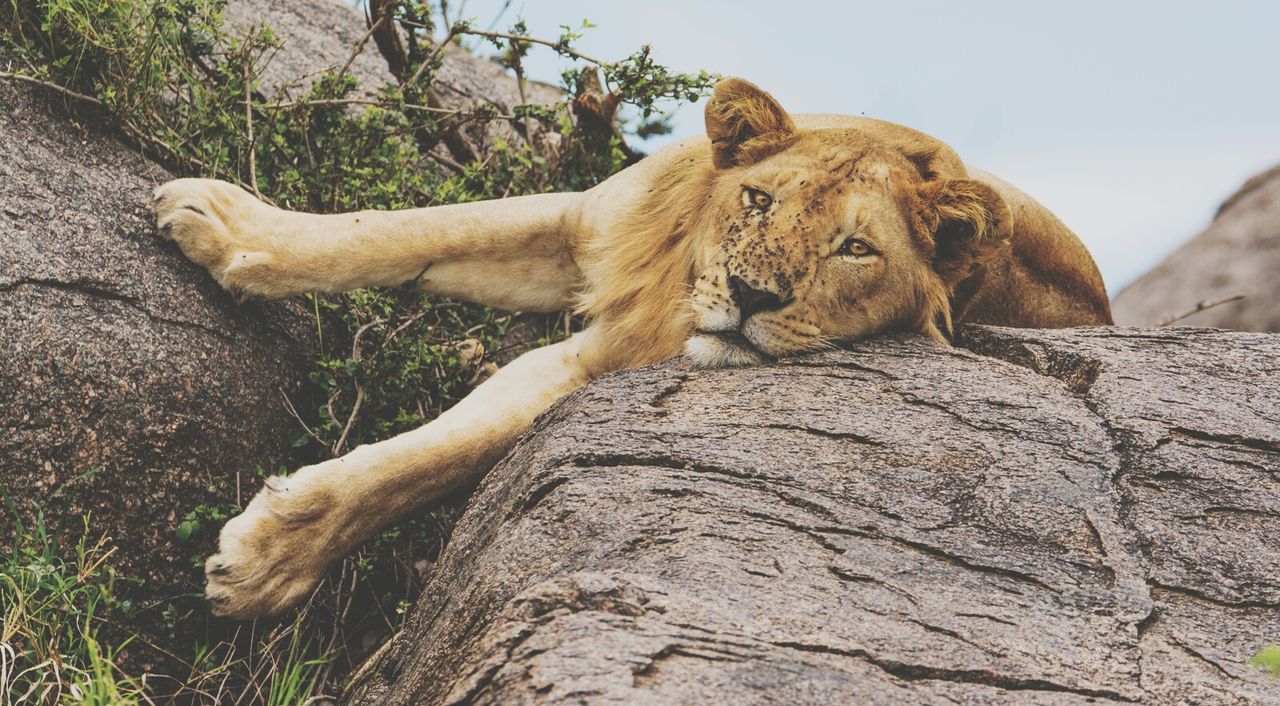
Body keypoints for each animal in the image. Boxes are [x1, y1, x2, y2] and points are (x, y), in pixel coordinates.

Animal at [149, 78, 1111, 619]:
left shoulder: (601, 364)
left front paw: (271, 559)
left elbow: (439, 457)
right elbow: (399, 230)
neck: (672, 283)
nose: (753, 296)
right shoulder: (588, 221)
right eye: (759, 199)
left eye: (855, 249)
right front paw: (226, 224)